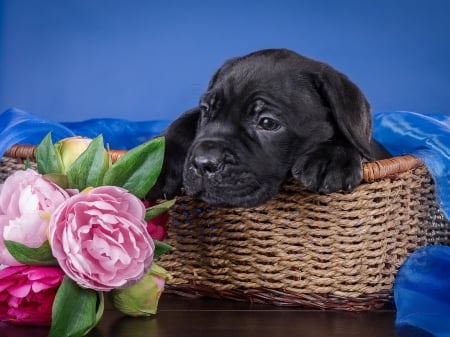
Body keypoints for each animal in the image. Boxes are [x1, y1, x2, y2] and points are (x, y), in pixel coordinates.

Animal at [149, 48, 388, 206]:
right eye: (206, 109)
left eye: (267, 122)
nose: (203, 162)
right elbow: (185, 119)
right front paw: (160, 162)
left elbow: (349, 135)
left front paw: (332, 159)